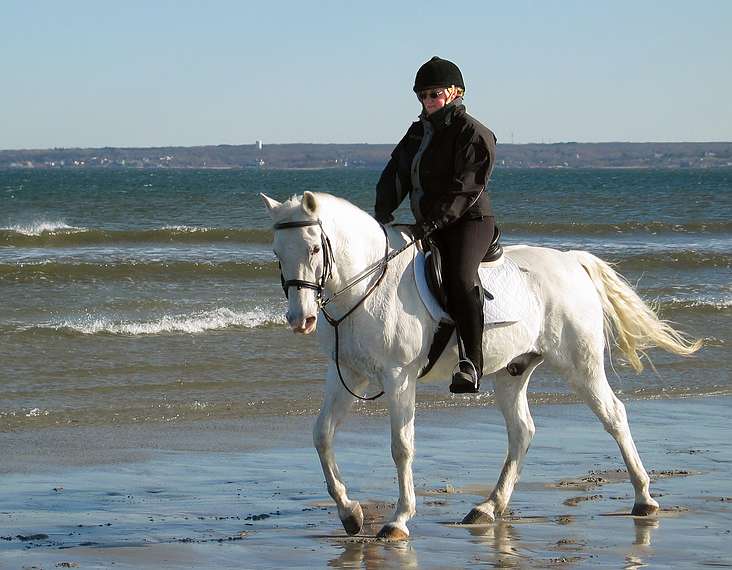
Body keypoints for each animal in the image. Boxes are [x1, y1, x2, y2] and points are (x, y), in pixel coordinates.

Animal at [260, 190, 700, 536]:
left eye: (314, 248)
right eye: (278, 253)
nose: (300, 319)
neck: (367, 285)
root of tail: (572, 262)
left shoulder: (399, 376)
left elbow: (402, 446)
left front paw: (398, 520)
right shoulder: (347, 374)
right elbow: (322, 435)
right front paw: (349, 513)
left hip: (581, 364)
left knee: (614, 415)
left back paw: (644, 498)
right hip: (513, 370)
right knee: (522, 432)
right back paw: (489, 507)